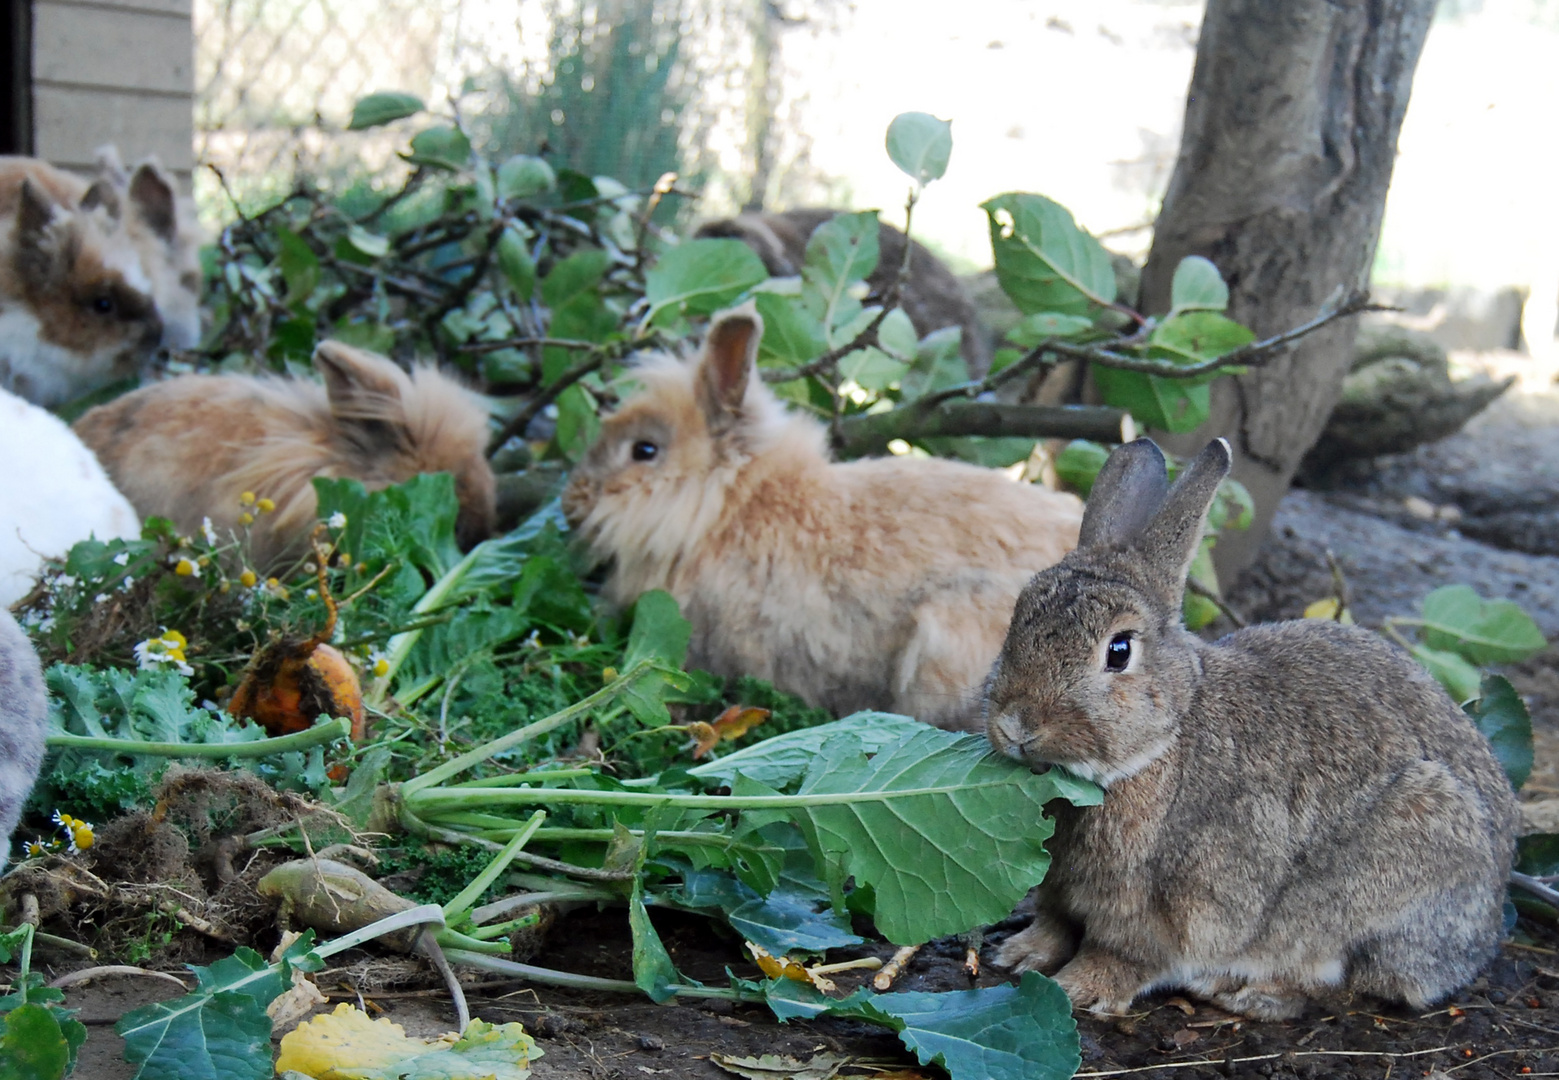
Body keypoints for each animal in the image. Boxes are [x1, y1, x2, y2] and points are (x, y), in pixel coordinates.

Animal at [985, 436, 1509, 1022]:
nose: (1016, 724)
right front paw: (1020, 954)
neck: (1166, 739)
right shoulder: (1059, 890)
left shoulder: (1161, 908)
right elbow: (1053, 924)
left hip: (1393, 868)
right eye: (1019, 615)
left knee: (1346, 981)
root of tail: (1483, 934)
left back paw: (1244, 990)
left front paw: (1081, 989)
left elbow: (1121, 955)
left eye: (1118, 651)